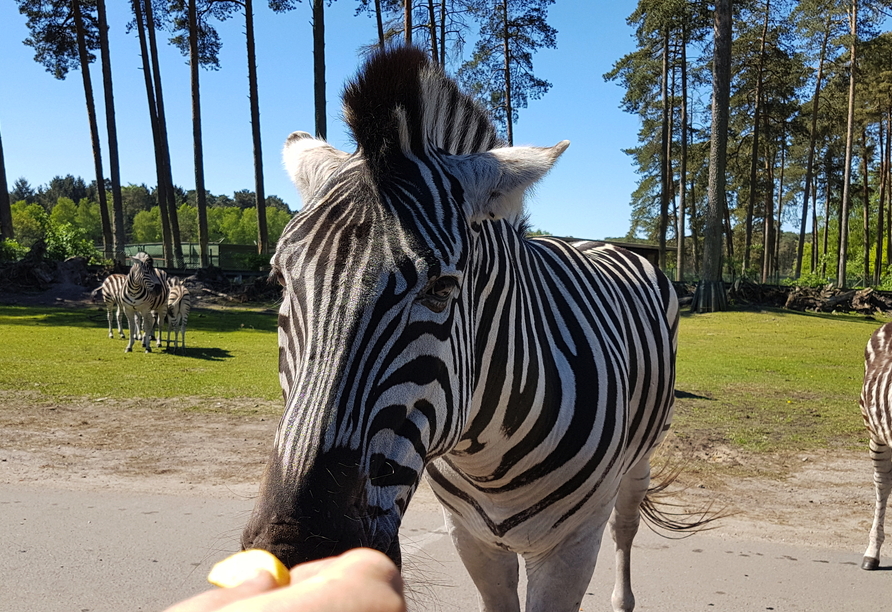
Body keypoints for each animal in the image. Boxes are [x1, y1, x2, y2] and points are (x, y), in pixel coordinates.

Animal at [244, 49, 696, 612]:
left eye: (441, 290)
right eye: (279, 281)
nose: (298, 556)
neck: (488, 453)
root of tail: (598, 242)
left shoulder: (571, 547)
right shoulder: (471, 538)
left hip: (641, 459)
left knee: (626, 527)